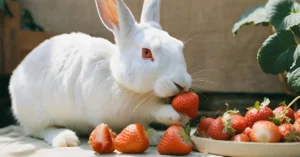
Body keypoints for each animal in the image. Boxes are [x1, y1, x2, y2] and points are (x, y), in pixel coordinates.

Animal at [9, 0, 192, 147]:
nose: (182, 83)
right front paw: (173, 114)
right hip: (36, 116)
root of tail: (15, 77)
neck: (117, 78)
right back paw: (65, 139)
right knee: (38, 130)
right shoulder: (123, 108)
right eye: (146, 52)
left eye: (179, 46)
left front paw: (154, 134)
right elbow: (151, 108)